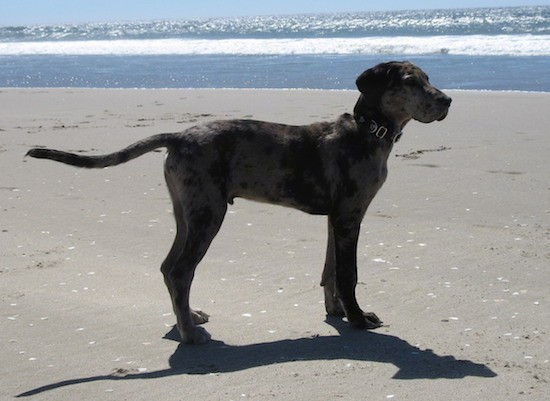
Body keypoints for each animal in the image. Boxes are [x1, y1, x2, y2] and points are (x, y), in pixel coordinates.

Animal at [27, 61, 452, 342]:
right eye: (411, 82)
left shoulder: (337, 218)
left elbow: (329, 270)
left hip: (187, 212)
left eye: (429, 79)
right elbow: (348, 274)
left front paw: (336, 313)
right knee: (180, 271)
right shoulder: (349, 216)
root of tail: (179, 136)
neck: (369, 131)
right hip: (208, 214)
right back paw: (188, 335)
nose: (447, 100)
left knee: (169, 267)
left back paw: (189, 318)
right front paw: (359, 319)